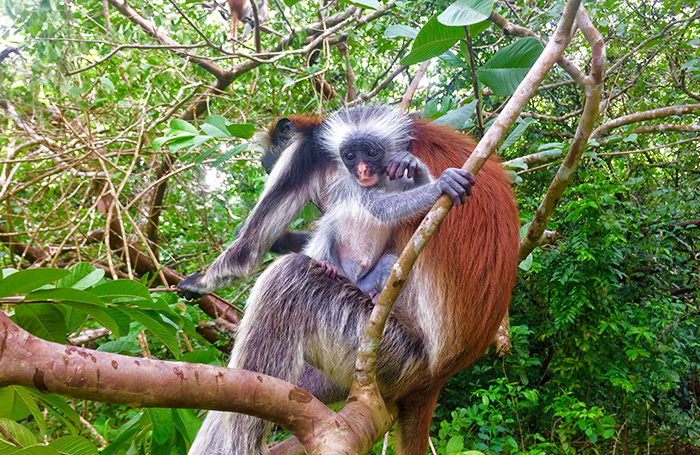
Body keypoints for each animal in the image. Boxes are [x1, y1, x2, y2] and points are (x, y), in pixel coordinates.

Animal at [304, 106, 474, 300]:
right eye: (350, 156)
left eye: (371, 152)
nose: (362, 170)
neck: (381, 183)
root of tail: (355, 282)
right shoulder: (355, 188)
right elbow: (383, 209)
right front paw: (441, 185)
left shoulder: (396, 180)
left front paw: (412, 163)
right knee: (327, 231)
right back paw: (328, 265)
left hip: (366, 281)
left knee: (388, 263)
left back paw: (374, 296)